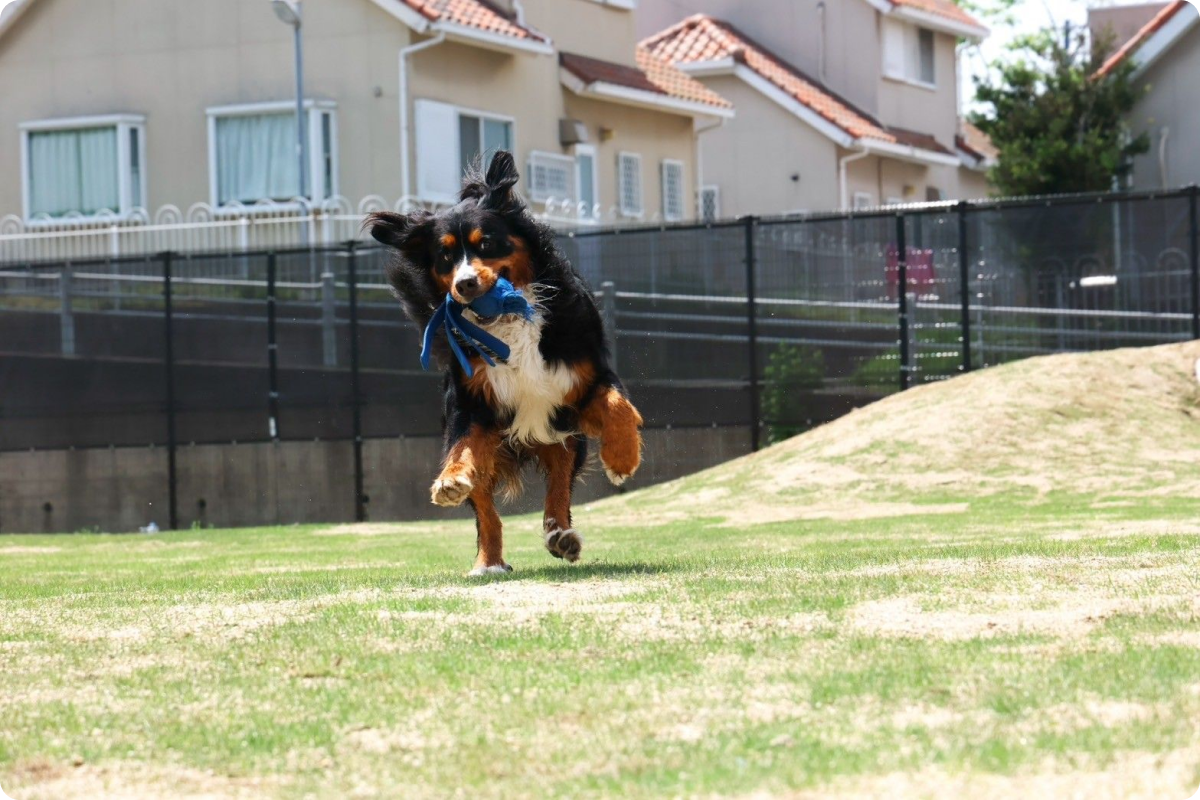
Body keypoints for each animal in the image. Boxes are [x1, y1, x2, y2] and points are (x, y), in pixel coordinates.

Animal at [367, 149, 643, 575]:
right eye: (445, 255)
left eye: (487, 243)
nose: (464, 284)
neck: (509, 321)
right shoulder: (473, 403)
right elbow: (462, 449)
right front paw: (450, 479)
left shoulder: (584, 378)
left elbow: (618, 406)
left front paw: (622, 458)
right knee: (486, 508)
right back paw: (490, 561)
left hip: (562, 434)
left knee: (559, 486)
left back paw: (560, 535)